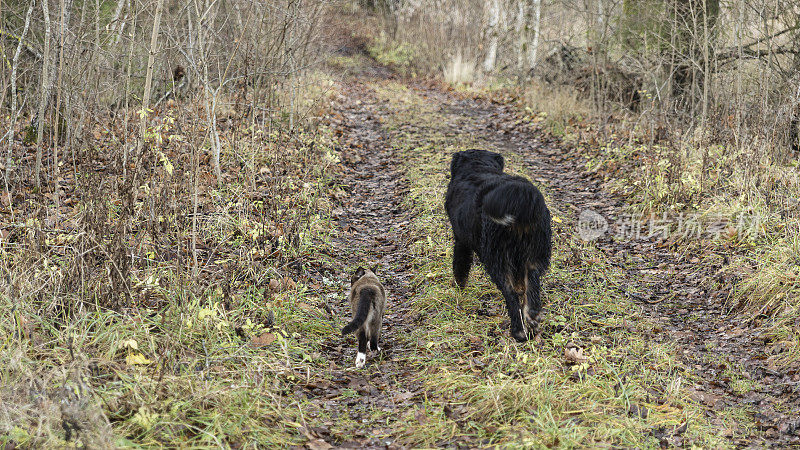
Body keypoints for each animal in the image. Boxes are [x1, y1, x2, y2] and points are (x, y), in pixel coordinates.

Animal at [444, 149, 552, 342]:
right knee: (532, 283)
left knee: (510, 294)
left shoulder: (461, 242)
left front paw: (457, 293)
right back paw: (532, 316)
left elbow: (460, 272)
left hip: (497, 259)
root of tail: (518, 197)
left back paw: (518, 331)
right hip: (536, 253)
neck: (477, 166)